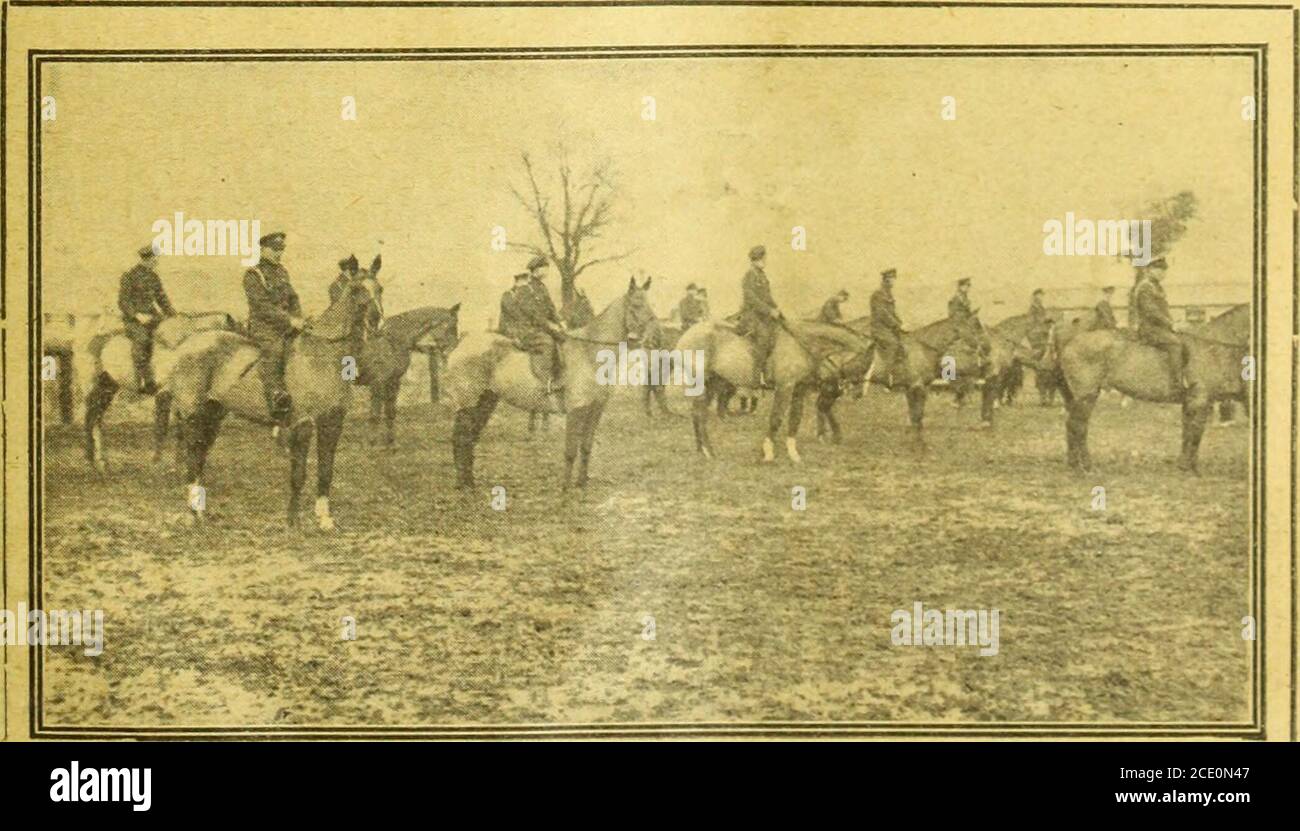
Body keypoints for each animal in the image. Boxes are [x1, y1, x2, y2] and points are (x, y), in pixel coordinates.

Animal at [74, 310, 239, 473]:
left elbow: (180, 430)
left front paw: (178, 464)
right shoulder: (165, 394)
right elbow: (162, 427)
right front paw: (158, 463)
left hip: (107, 387)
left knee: (96, 419)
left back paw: (102, 462)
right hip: (92, 386)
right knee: (89, 419)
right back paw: (91, 460)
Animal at [159, 270, 379, 525]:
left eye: (380, 289)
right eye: (356, 290)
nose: (376, 322)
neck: (323, 356)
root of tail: (185, 343)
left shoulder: (332, 422)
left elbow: (326, 470)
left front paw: (325, 519)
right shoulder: (302, 423)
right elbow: (299, 473)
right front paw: (293, 520)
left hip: (213, 413)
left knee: (199, 454)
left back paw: (199, 508)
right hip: (193, 413)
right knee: (192, 455)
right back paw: (194, 511)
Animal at [353, 305, 460, 447]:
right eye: (453, 324)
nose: (450, 348)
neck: (394, 342)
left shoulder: (393, 382)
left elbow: (390, 412)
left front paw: (390, 442)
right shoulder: (378, 382)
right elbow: (375, 414)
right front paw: (372, 443)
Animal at [441, 275, 660, 491]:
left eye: (650, 307)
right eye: (636, 305)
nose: (653, 340)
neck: (589, 354)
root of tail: (461, 344)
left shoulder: (595, 409)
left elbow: (586, 446)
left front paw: (581, 484)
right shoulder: (576, 410)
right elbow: (570, 450)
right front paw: (565, 488)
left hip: (486, 401)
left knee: (470, 437)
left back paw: (469, 481)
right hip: (468, 403)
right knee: (461, 437)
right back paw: (463, 484)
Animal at [670, 317, 873, 465]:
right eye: (865, 365)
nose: (859, 393)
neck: (801, 344)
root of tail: (685, 335)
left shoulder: (799, 389)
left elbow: (794, 420)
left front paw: (793, 453)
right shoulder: (785, 387)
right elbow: (776, 418)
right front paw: (768, 452)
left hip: (712, 383)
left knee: (699, 413)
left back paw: (702, 449)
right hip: (702, 383)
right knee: (699, 414)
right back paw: (707, 451)